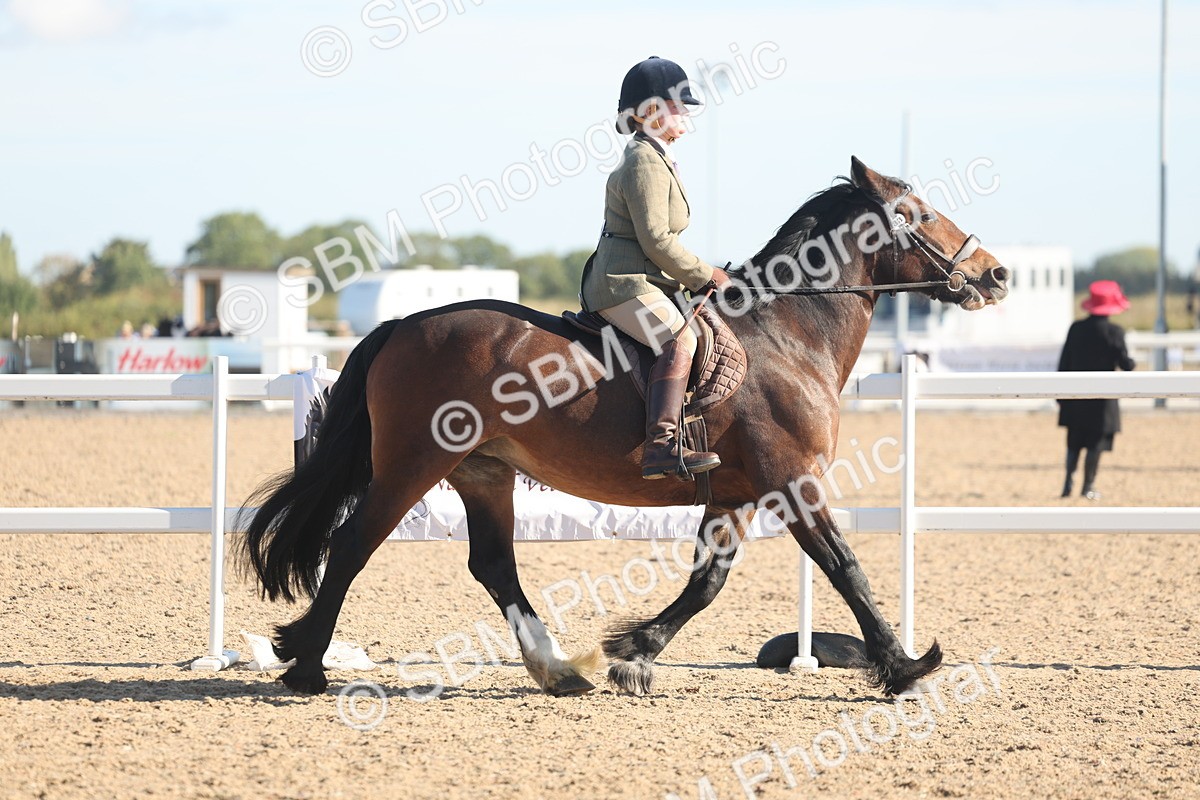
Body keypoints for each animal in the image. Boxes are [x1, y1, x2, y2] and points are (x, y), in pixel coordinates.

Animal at [240, 156, 1010, 698]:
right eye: (920, 213)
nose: (995, 274)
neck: (788, 335)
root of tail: (402, 324)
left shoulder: (735, 492)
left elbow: (708, 582)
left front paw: (633, 655)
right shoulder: (794, 482)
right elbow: (846, 568)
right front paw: (905, 668)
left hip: (484, 471)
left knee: (493, 564)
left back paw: (557, 669)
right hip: (411, 466)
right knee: (351, 546)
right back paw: (307, 668)